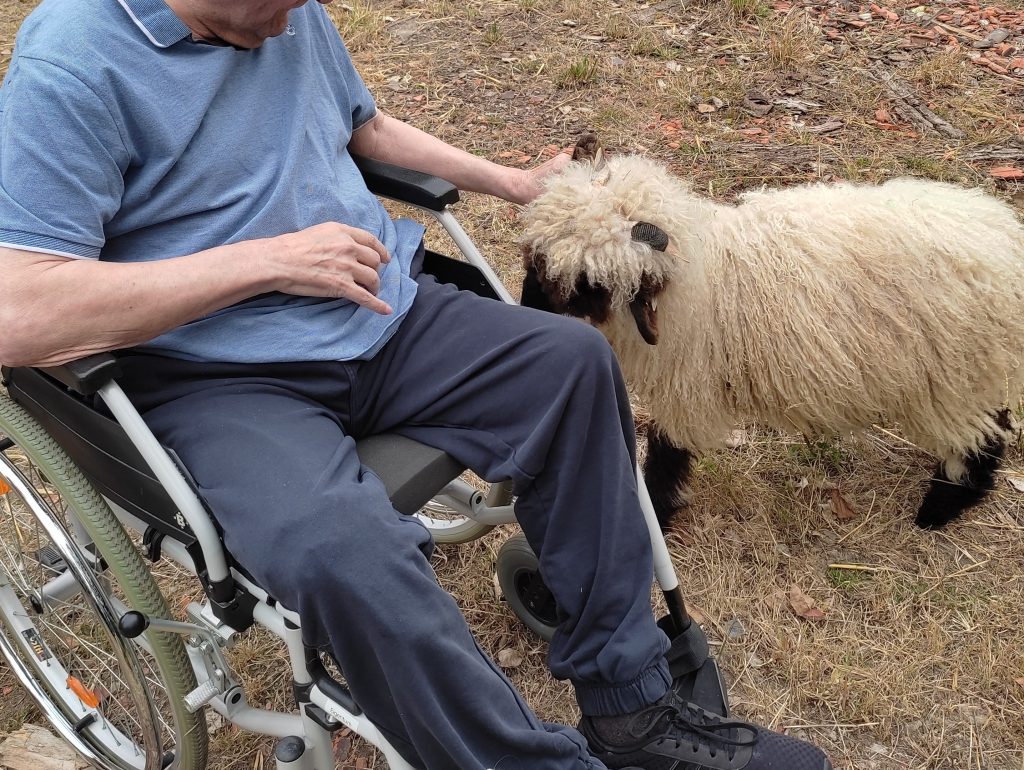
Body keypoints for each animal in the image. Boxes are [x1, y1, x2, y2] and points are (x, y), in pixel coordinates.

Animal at [520, 134, 1024, 530]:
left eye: (590, 285)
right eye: (536, 259)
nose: (526, 310)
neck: (698, 275)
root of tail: (1006, 241)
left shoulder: (686, 389)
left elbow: (667, 454)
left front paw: (656, 514)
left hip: (952, 378)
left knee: (982, 438)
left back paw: (939, 509)